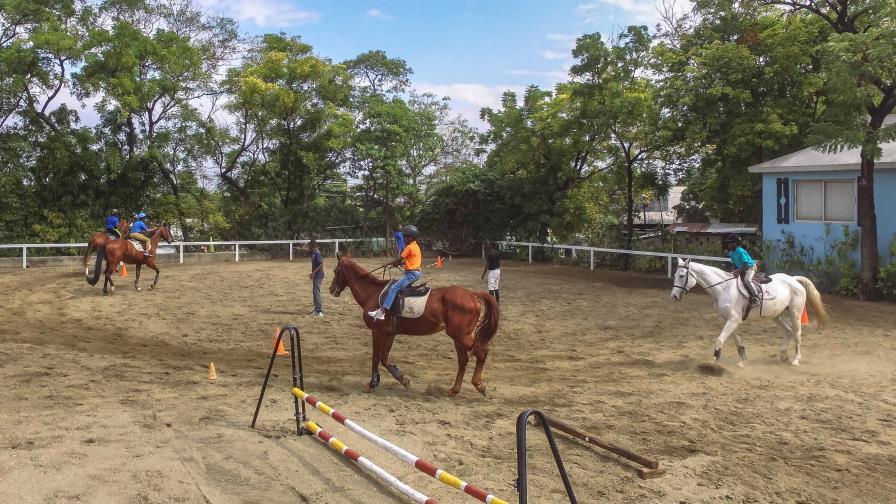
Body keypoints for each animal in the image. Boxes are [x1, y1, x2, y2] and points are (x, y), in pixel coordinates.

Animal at [328, 258, 500, 396]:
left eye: (336, 271)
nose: (331, 289)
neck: (373, 293)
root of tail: (473, 294)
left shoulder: (377, 332)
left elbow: (376, 358)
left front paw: (372, 383)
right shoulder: (389, 333)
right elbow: (384, 358)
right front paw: (402, 379)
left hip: (461, 335)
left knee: (482, 352)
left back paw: (478, 385)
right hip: (459, 338)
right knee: (463, 361)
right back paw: (454, 390)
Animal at [668, 260, 828, 366]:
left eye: (681, 276)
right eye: (675, 275)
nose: (674, 296)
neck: (723, 288)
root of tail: (793, 279)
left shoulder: (733, 319)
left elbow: (720, 339)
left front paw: (713, 361)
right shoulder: (729, 319)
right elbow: (735, 339)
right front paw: (742, 357)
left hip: (795, 313)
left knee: (797, 335)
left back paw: (795, 360)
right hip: (776, 315)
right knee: (788, 331)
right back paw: (783, 355)